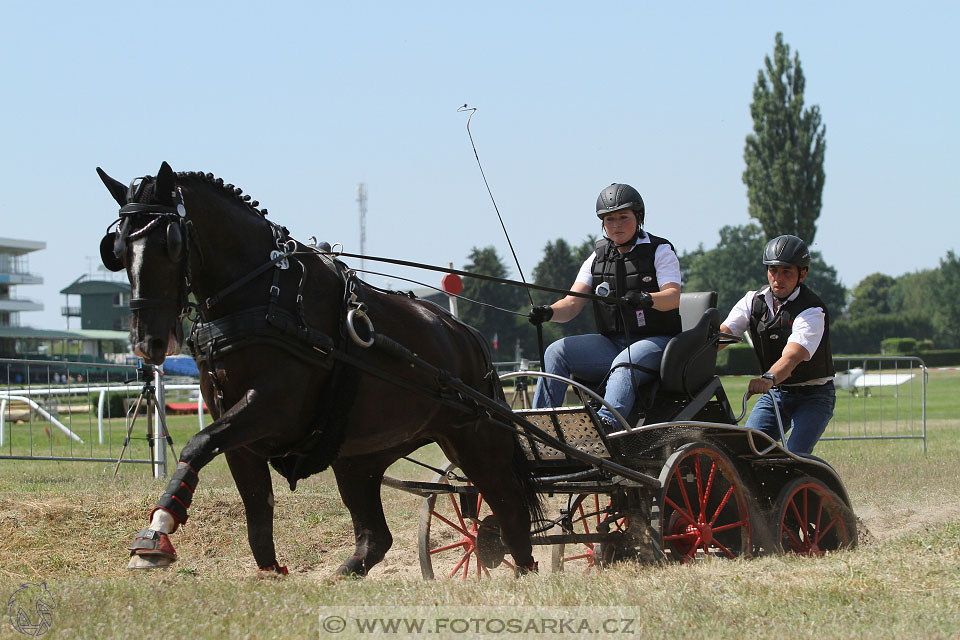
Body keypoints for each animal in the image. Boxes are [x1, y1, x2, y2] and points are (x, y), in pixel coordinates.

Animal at [103, 162, 548, 576]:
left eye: (171, 243)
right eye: (118, 247)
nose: (147, 341)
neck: (268, 294)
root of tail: (466, 334)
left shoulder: (271, 409)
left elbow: (196, 445)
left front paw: (156, 532)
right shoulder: (239, 432)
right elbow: (256, 514)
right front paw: (268, 574)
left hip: (474, 440)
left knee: (510, 508)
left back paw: (523, 571)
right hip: (358, 456)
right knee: (375, 537)